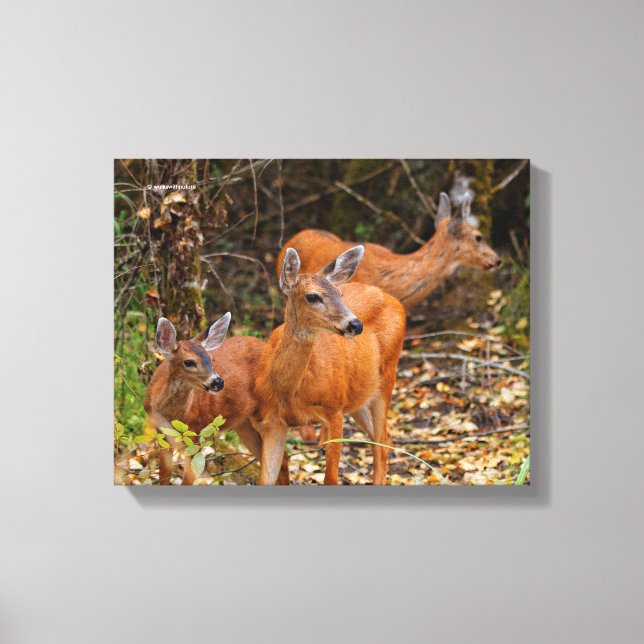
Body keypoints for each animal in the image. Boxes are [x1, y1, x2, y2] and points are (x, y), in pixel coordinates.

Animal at [144, 313, 290, 485]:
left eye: (211, 359)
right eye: (189, 361)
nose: (218, 382)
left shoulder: (196, 432)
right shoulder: (162, 435)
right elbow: (164, 477)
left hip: (269, 411)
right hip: (244, 423)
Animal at [255, 245, 406, 485]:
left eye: (340, 294)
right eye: (312, 296)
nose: (356, 324)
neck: (289, 392)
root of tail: (394, 299)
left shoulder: (334, 409)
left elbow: (331, 479)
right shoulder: (273, 422)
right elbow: (266, 478)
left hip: (387, 376)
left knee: (381, 447)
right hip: (359, 395)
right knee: (383, 438)